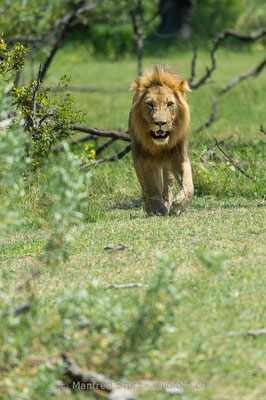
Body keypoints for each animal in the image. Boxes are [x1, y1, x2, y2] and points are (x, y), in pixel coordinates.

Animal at [128, 65, 193, 216]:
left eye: (169, 104)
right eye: (150, 104)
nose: (160, 123)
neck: (160, 146)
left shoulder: (179, 157)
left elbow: (189, 184)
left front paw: (179, 205)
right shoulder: (145, 160)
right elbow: (152, 187)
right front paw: (158, 209)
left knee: (168, 184)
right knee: (146, 188)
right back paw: (150, 209)